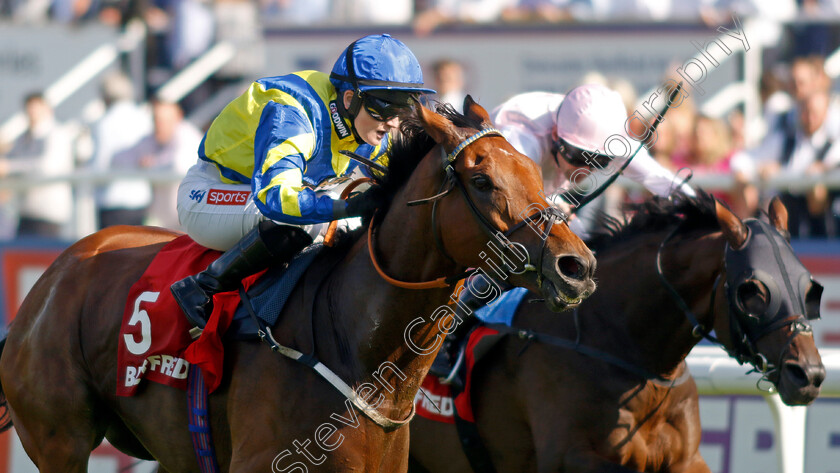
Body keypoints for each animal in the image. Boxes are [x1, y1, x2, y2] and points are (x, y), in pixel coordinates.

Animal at [0, 97, 596, 470]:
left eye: (537, 173)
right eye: (482, 179)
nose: (577, 266)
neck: (359, 350)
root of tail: (52, 276)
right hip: (59, 439)